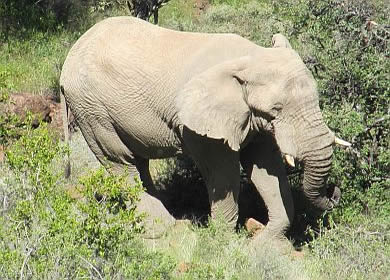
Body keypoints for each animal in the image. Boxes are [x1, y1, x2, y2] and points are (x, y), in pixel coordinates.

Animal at [60, 15, 350, 243]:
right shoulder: (200, 127)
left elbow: (267, 169)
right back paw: (163, 229)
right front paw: (223, 241)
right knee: (121, 162)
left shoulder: (253, 119)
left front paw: (265, 243)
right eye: (276, 108)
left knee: (137, 162)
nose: (334, 192)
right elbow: (223, 173)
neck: (250, 57)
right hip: (91, 109)